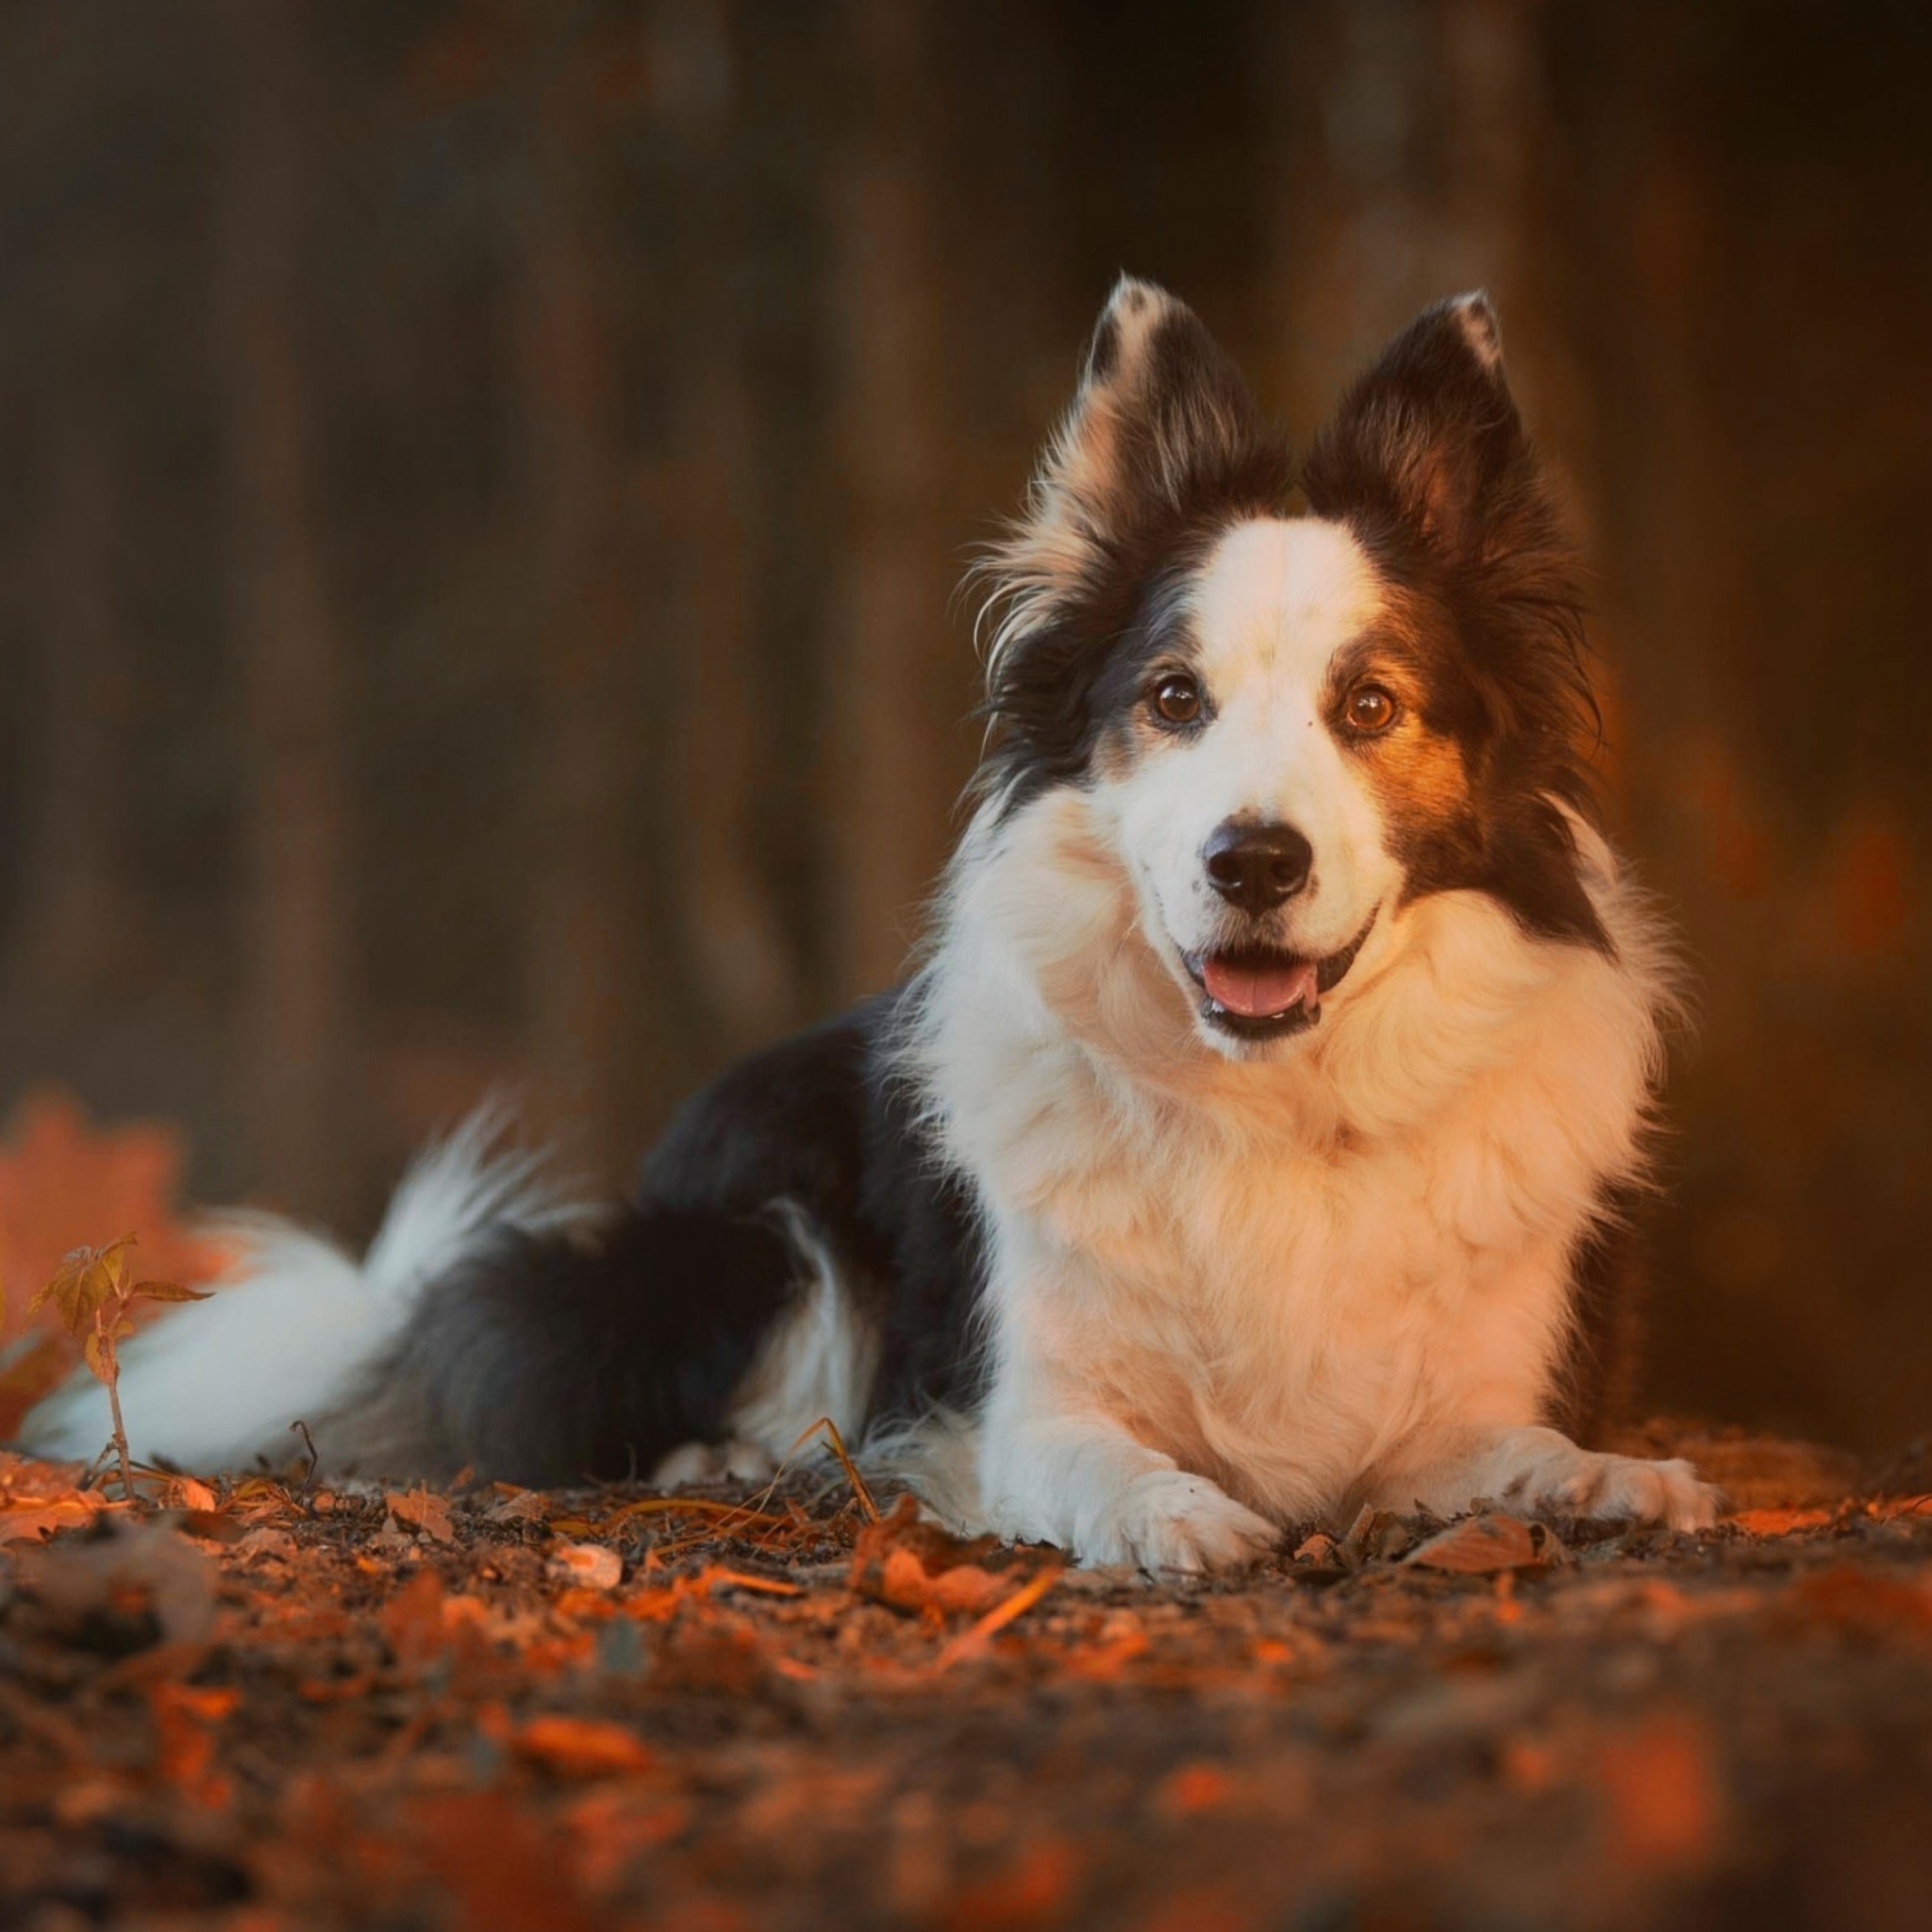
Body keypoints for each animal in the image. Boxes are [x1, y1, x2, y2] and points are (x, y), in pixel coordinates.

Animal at [26, 275, 1723, 1568]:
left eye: (1369, 706)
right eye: (1175, 700)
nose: (1252, 860)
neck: (1271, 1104)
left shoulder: (1459, 1389)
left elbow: (1506, 1443)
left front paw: (1610, 1477)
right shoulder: (1017, 1396)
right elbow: (1091, 1458)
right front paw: (1176, 1511)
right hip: (760, 1227)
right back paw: (738, 1455)